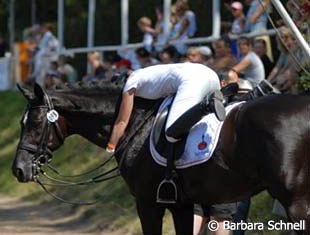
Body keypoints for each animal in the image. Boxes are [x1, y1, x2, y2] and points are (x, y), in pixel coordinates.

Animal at [12, 82, 310, 233]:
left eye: (35, 122)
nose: (18, 169)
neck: (135, 124)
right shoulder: (181, 204)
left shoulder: (148, 203)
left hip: (296, 203)